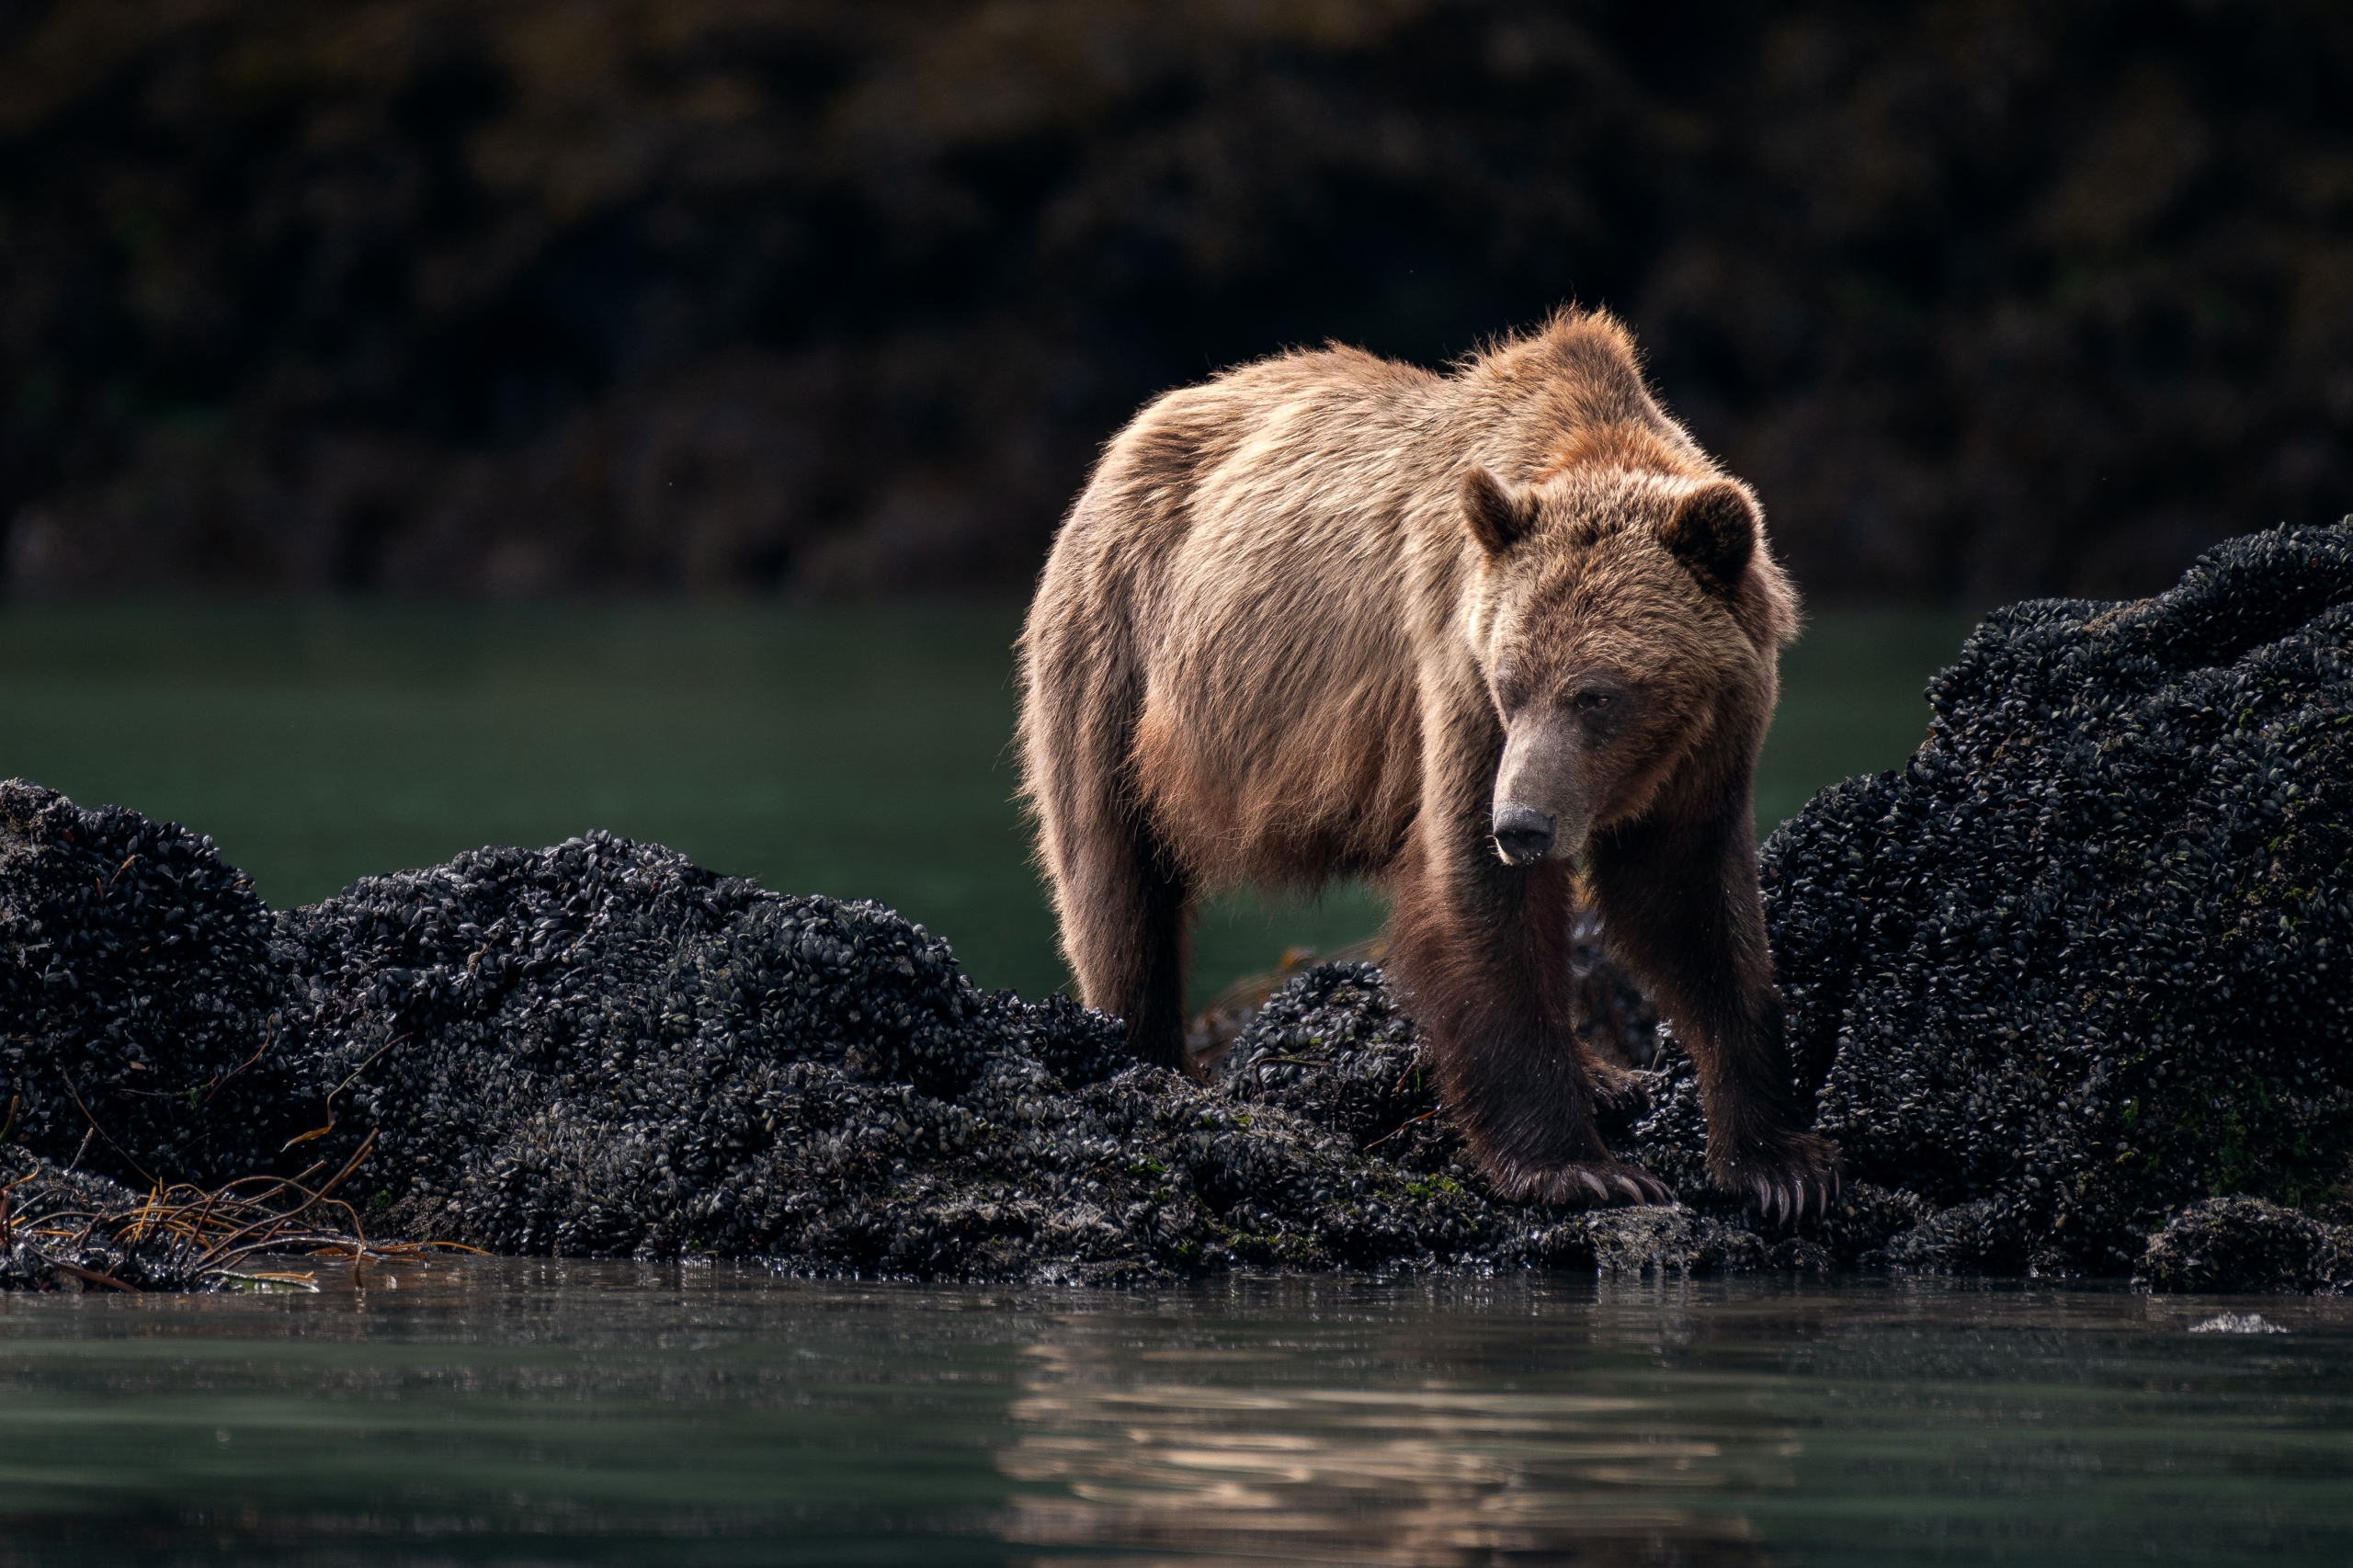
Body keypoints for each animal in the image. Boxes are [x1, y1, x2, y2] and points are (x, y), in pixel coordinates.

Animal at [1016, 308, 1840, 1218]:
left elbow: (1693, 905)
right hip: (1118, 645)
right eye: (1512, 684)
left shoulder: (1707, 748)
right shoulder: (1455, 670)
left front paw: (1778, 1165)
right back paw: (1146, 1060)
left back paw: (1606, 1074)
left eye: (1596, 695)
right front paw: (1580, 1167)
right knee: (1116, 879)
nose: (1523, 824)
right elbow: (1477, 894)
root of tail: (1134, 433)